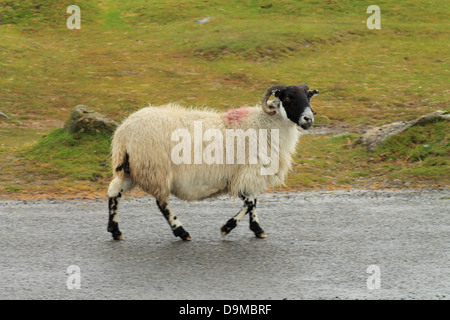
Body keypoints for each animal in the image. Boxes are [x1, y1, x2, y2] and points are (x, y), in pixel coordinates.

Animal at [107, 84, 318, 241]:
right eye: (288, 98)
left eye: (308, 97)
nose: (308, 119)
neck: (266, 124)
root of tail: (124, 132)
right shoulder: (247, 173)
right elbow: (250, 201)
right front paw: (228, 227)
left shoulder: (248, 174)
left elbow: (253, 201)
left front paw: (257, 229)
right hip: (155, 168)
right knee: (162, 202)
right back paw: (181, 232)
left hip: (131, 168)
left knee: (114, 192)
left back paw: (115, 230)